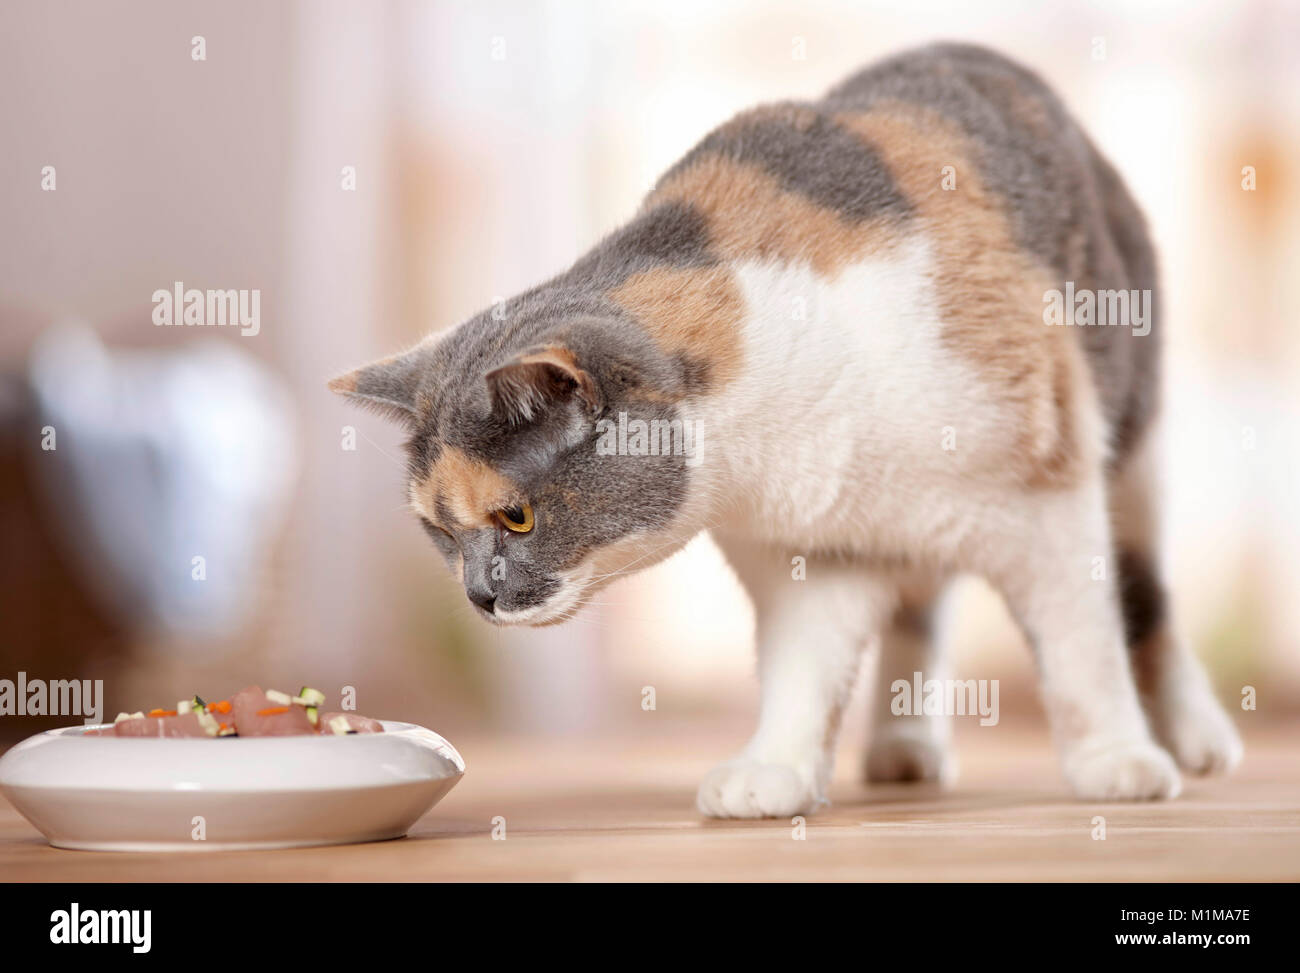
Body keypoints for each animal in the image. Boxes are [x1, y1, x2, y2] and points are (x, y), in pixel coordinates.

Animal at [332, 45, 1237, 822]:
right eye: (439, 532)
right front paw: (776, 769)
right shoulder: (811, 556)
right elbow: (806, 668)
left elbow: (1083, 644)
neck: (775, 449)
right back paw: (903, 747)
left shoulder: (1048, 500)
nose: (478, 595)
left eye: (516, 516)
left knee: (1144, 592)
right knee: (919, 609)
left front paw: (1116, 758)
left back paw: (1193, 738)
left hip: (1132, 450)